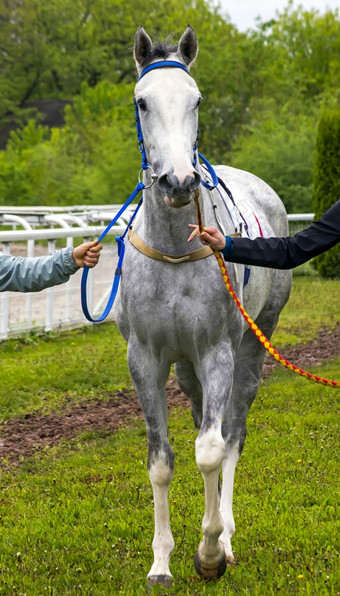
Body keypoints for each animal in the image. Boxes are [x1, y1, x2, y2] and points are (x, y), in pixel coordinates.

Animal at [115, 25, 290, 584]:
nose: (178, 181)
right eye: (142, 102)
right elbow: (162, 459)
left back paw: (226, 533)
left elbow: (212, 450)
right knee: (199, 422)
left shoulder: (217, 352)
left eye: (196, 100)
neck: (174, 249)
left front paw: (211, 552)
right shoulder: (146, 359)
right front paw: (161, 561)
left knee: (231, 432)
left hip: (254, 344)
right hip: (187, 366)